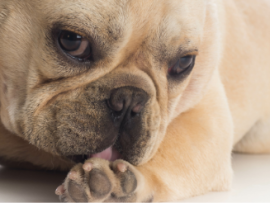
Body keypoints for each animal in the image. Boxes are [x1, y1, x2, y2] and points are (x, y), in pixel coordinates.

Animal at [0, 0, 268, 201]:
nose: (130, 99)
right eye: (72, 41)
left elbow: (172, 148)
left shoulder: (205, 121)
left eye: (184, 63)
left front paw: (120, 181)